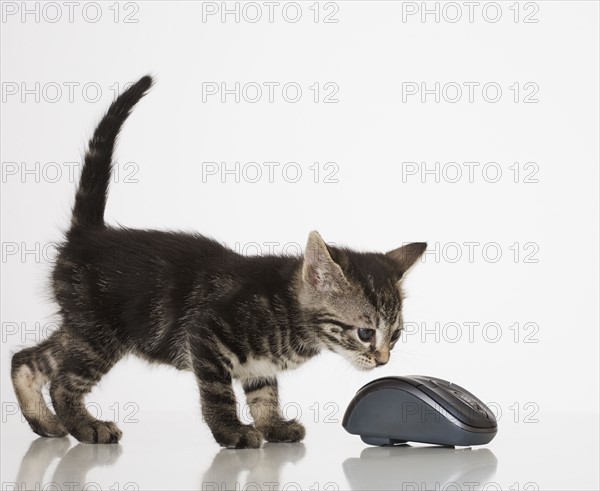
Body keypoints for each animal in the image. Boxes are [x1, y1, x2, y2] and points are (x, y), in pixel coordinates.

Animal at [11, 75, 428, 448]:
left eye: (395, 335)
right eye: (365, 333)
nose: (384, 361)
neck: (288, 309)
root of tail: (89, 234)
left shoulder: (259, 363)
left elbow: (264, 392)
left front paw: (273, 426)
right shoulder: (205, 335)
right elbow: (218, 394)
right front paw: (232, 432)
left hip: (82, 326)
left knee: (26, 359)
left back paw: (44, 422)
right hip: (100, 334)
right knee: (63, 382)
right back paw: (85, 427)